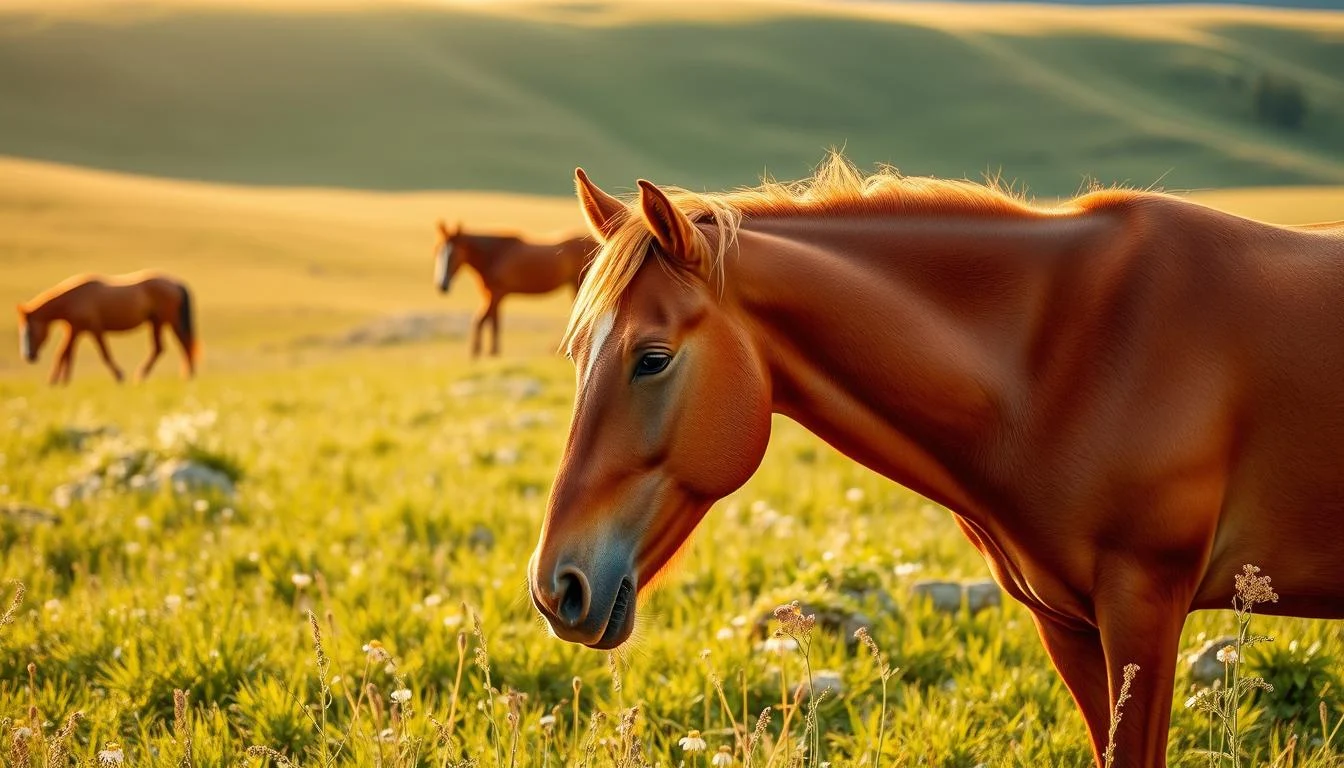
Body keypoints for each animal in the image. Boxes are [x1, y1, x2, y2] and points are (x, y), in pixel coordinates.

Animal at [17, 271, 198, 385]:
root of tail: (175, 283)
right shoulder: (75, 329)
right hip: (157, 322)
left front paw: (119, 376)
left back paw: (187, 375)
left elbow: (103, 354)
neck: (73, 299)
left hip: (168, 320)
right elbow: (65, 354)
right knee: (162, 348)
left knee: (184, 344)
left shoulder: (94, 329)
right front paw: (61, 381)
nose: (28, 356)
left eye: (29, 331)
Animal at [433, 221, 596, 357]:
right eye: (437, 250)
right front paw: (493, 352)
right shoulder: (491, 295)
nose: (442, 285)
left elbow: (481, 320)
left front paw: (479, 353)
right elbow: (493, 321)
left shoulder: (496, 294)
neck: (494, 254)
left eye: (454, 254)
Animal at [528, 156, 1344, 767]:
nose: (555, 587)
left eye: (652, 358)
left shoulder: (1145, 604)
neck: (1058, 359)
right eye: (575, 352)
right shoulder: (1071, 626)